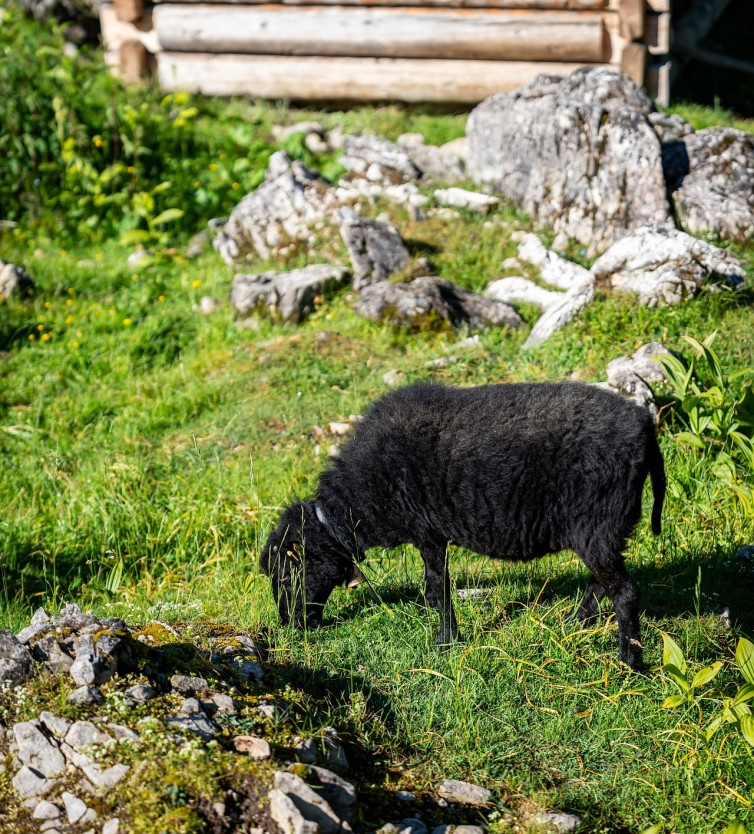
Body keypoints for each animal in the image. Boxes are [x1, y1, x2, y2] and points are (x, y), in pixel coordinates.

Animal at [261, 381, 666, 670]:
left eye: (286, 573)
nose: (291, 625)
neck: (357, 501)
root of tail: (646, 432)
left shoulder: (428, 532)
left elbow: (437, 589)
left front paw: (445, 643)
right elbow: (434, 589)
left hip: (597, 523)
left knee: (625, 592)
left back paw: (630, 663)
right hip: (601, 531)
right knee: (602, 583)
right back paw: (573, 622)